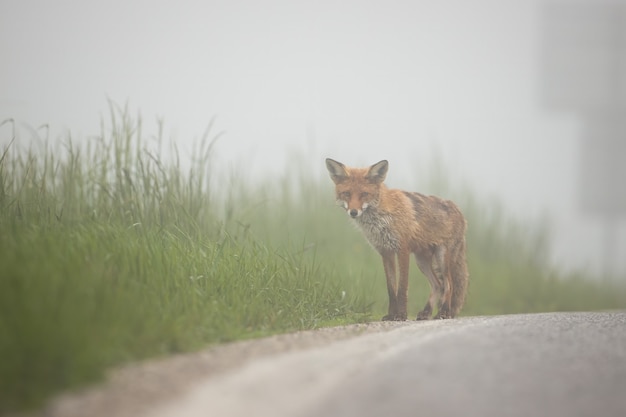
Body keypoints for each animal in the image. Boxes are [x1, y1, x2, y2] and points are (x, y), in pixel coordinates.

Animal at [324, 158, 466, 320]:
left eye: (364, 194)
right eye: (347, 193)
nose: (353, 212)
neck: (382, 218)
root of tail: (458, 210)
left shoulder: (402, 250)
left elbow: (402, 287)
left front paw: (401, 315)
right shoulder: (386, 252)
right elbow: (391, 288)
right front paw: (391, 315)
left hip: (442, 257)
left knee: (449, 284)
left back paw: (444, 312)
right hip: (421, 260)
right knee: (437, 285)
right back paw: (426, 312)